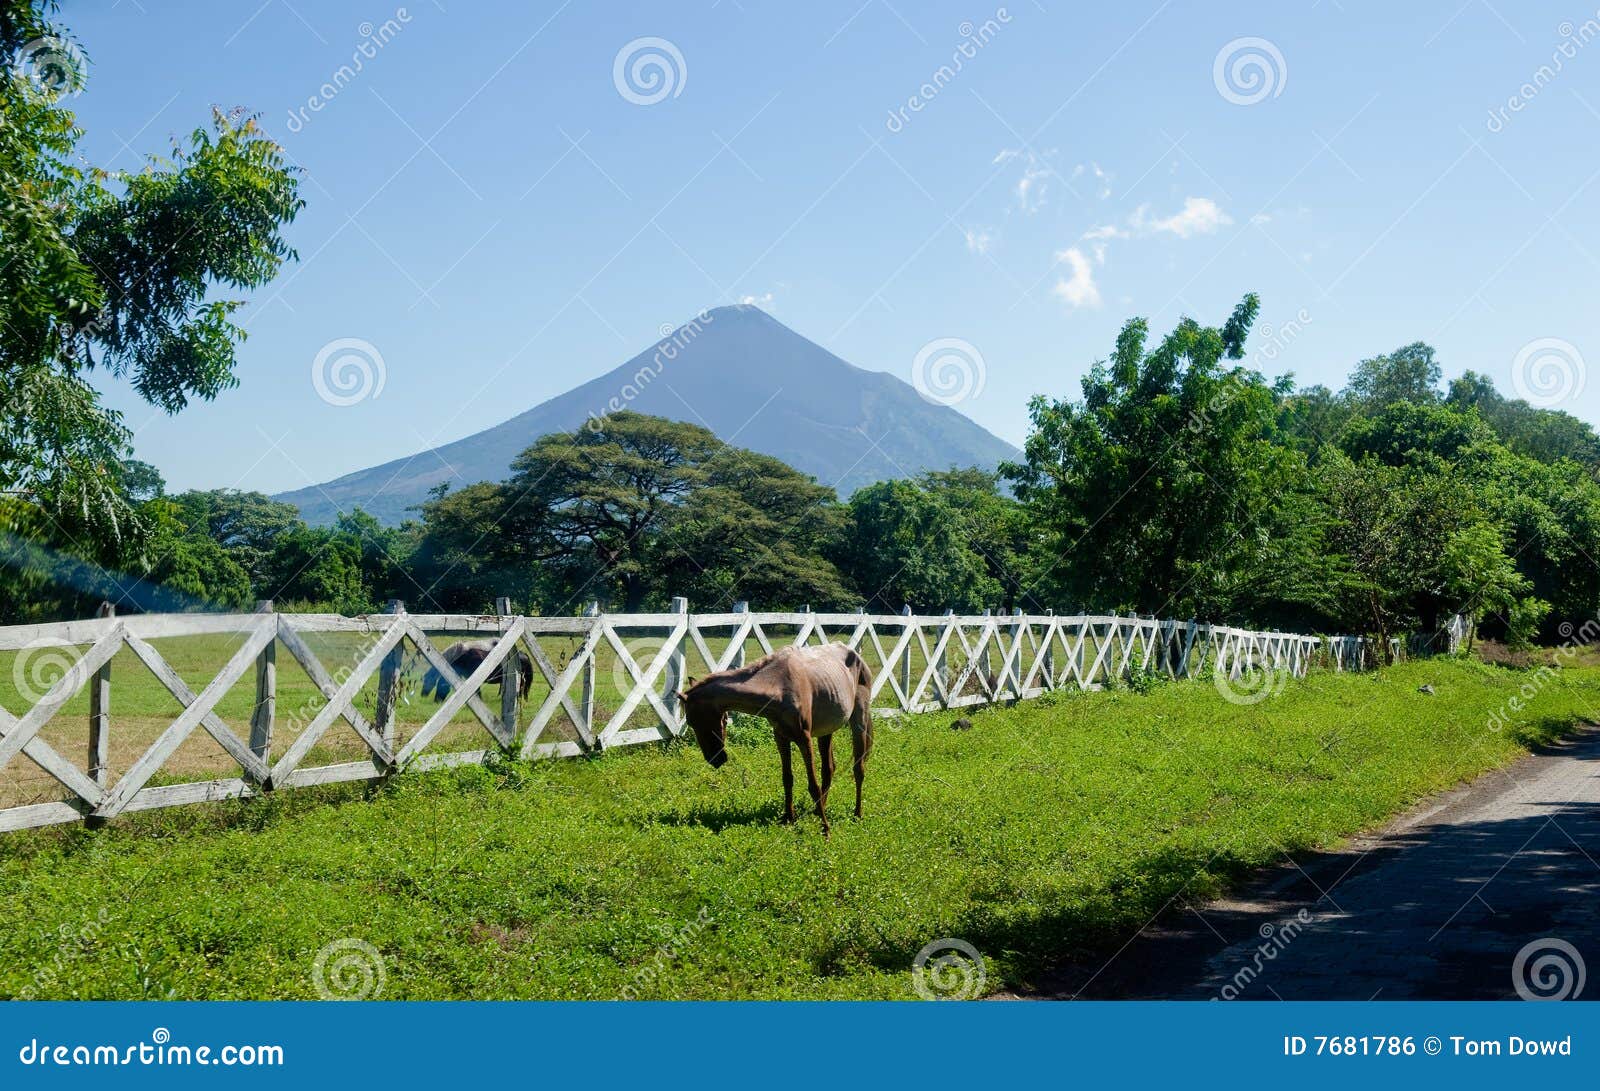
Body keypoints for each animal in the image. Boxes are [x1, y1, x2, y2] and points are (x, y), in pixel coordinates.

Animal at [675, 636, 876, 831]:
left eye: (694, 722)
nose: (716, 759)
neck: (779, 686)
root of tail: (856, 655)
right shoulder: (781, 737)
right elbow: (787, 778)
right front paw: (789, 818)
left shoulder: (804, 739)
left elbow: (813, 785)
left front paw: (825, 829)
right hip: (826, 730)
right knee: (829, 769)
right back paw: (819, 811)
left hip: (859, 722)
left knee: (858, 768)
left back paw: (857, 813)